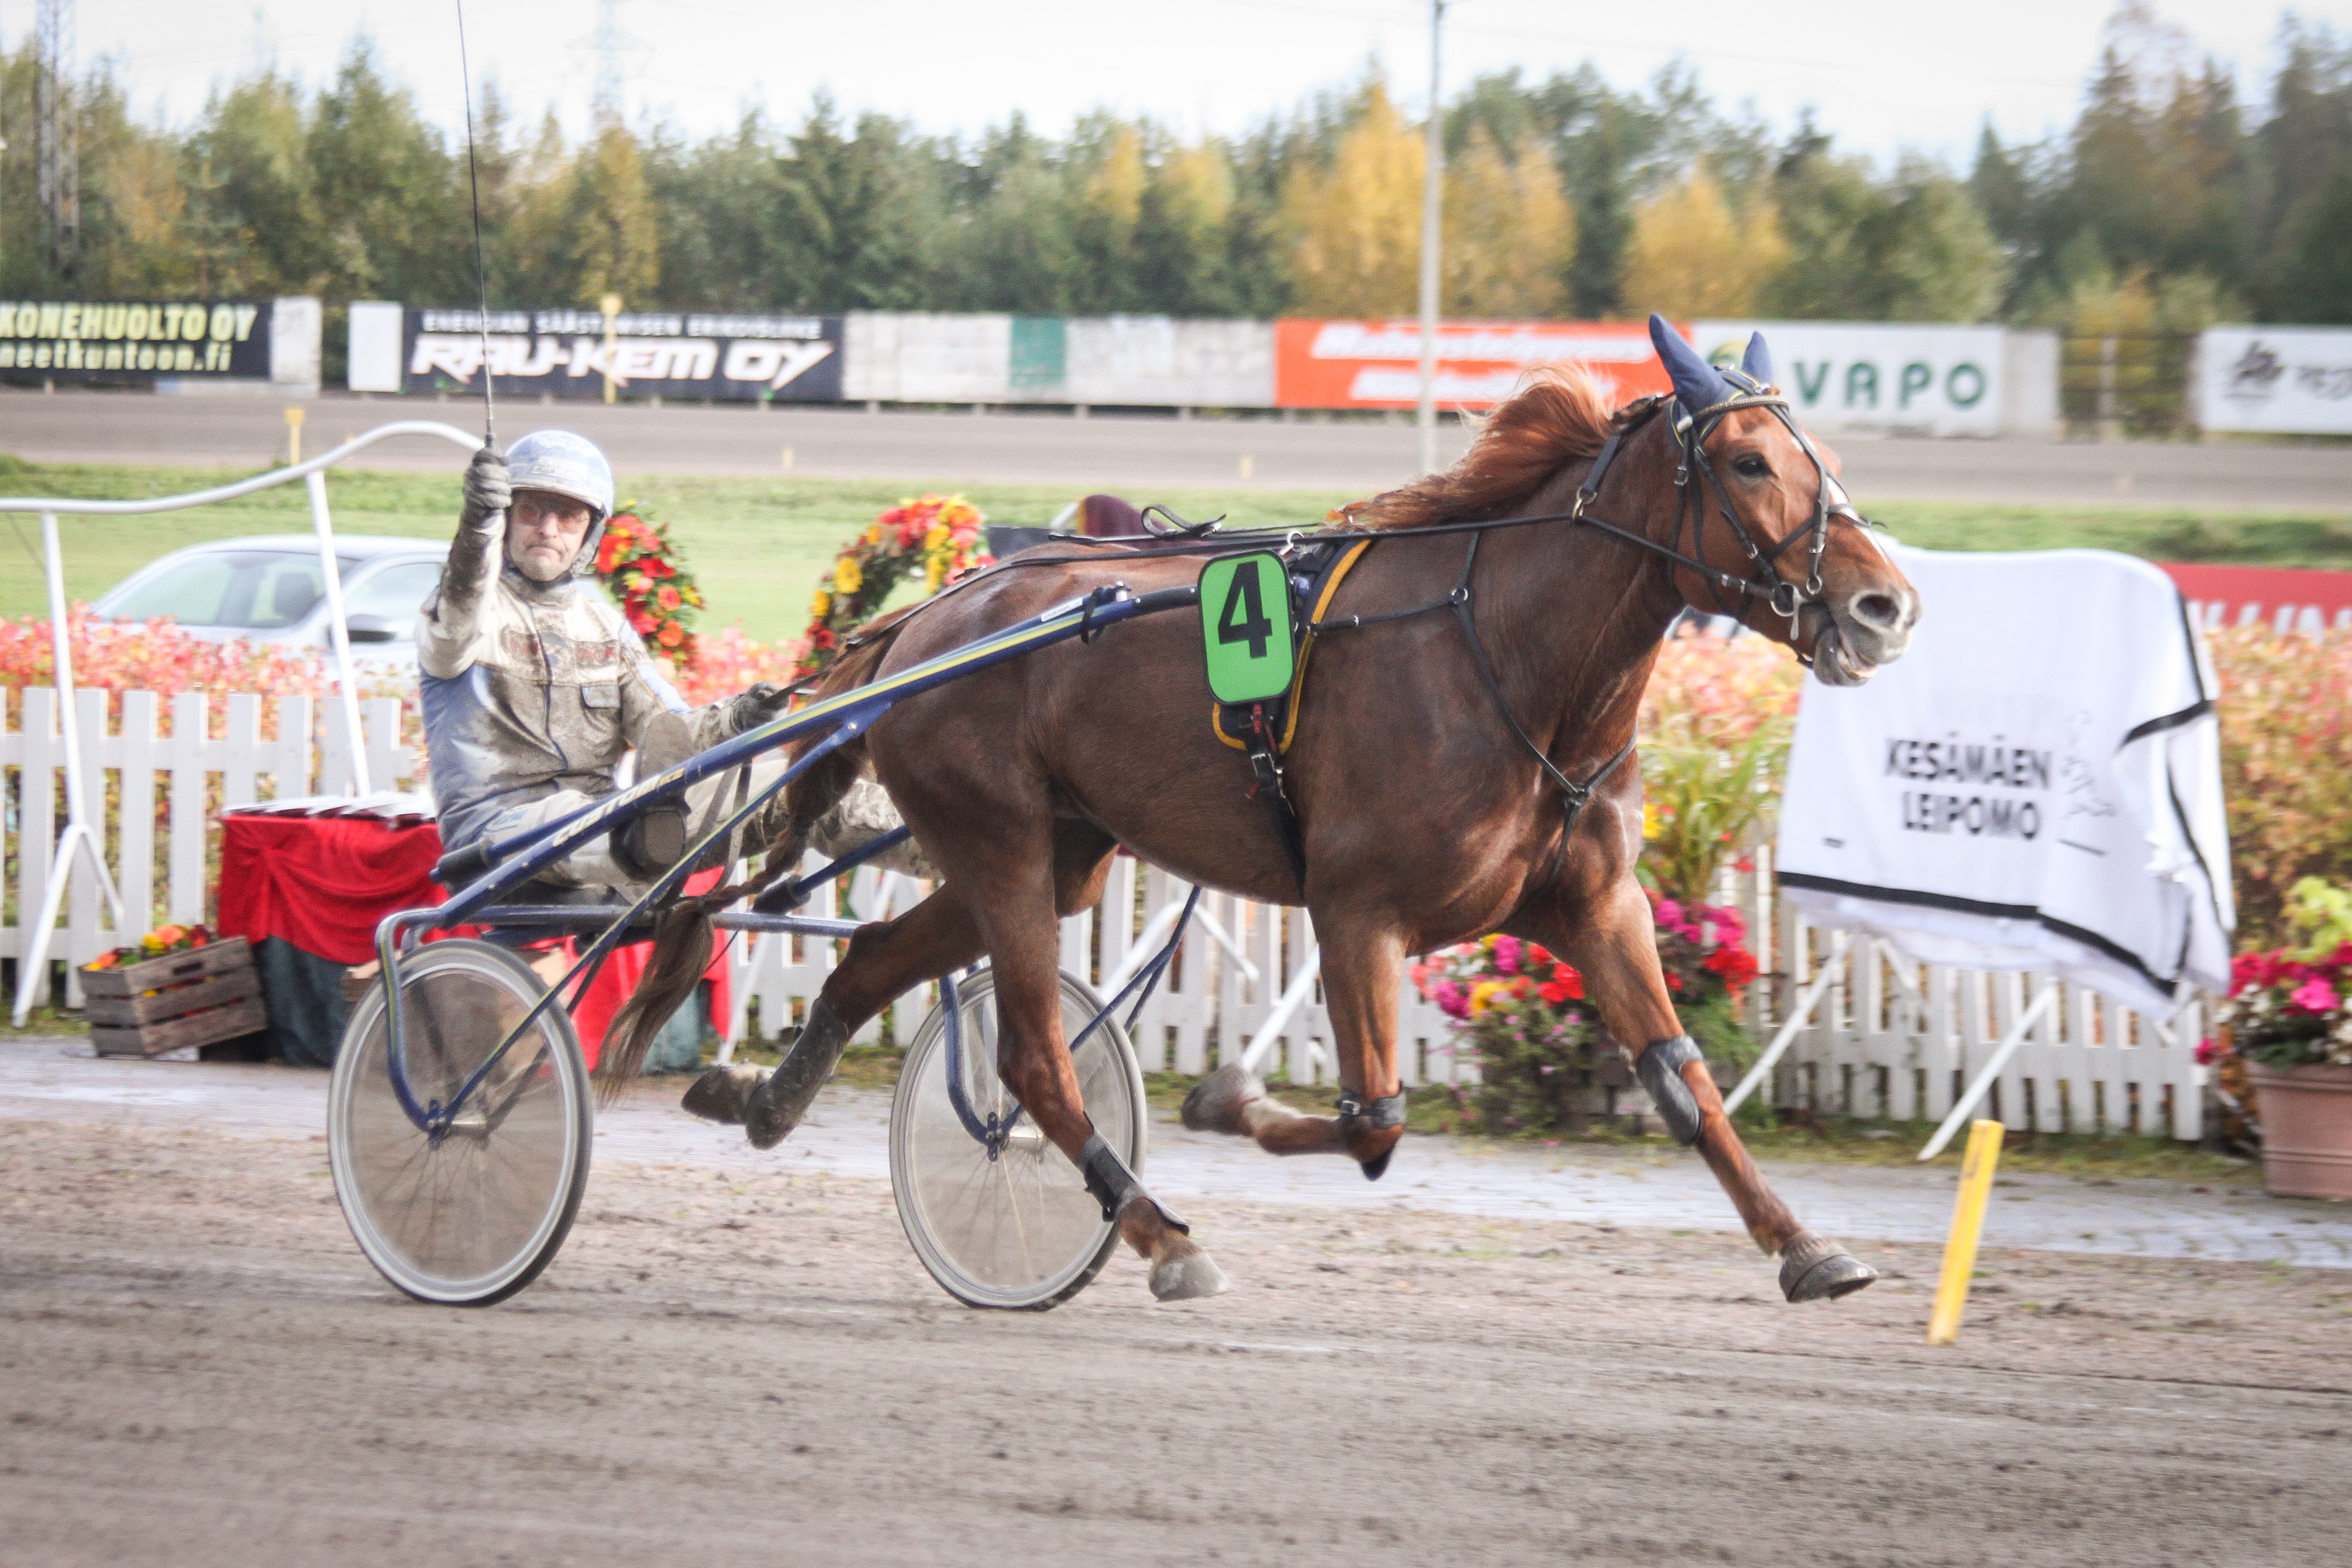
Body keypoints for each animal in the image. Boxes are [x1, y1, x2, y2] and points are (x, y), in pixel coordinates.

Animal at [677, 319, 1910, 1297]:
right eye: (1749, 462)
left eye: (1829, 461)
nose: (1886, 605)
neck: (1507, 658)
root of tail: (927, 622)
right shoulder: (1358, 908)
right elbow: (1376, 1116)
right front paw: (1225, 1099)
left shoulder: (1595, 904)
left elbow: (1684, 1081)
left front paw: (1804, 1247)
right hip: (1001, 842)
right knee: (1033, 1061)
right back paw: (1159, 1235)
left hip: (1055, 852)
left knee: (872, 956)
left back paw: (767, 1096)